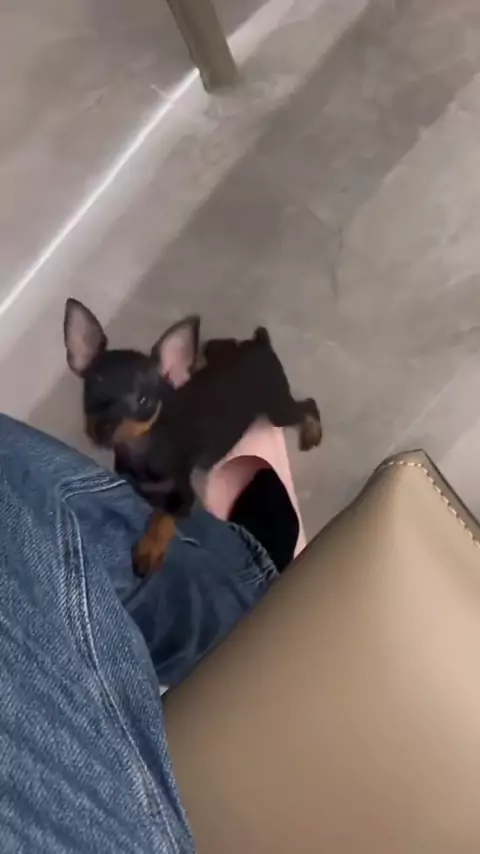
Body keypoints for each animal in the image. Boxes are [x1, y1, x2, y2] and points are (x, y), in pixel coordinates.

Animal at [64, 298, 322, 576]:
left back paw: (312, 432)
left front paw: (149, 549)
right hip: (228, 358)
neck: (142, 448)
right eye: (91, 392)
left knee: (309, 405)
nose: (104, 429)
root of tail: (259, 345)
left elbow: (164, 517)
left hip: (278, 409)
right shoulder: (135, 484)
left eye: (144, 400)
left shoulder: (184, 499)